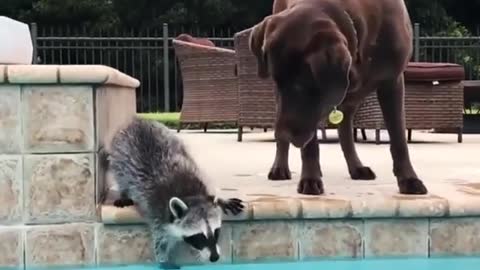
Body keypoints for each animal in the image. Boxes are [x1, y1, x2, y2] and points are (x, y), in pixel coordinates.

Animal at [107, 117, 246, 268]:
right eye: (199, 236)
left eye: (216, 232)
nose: (214, 257)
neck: (190, 195)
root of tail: (137, 121)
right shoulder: (158, 212)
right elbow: (161, 242)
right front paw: (164, 260)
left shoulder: (199, 176)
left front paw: (221, 200)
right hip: (119, 155)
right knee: (121, 177)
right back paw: (124, 193)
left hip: (171, 137)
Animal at [248, 0, 428, 195]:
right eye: (278, 80)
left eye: (300, 85)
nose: (283, 134)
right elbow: (311, 146)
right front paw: (310, 179)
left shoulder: (392, 81)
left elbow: (399, 139)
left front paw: (409, 179)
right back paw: (280, 167)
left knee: (345, 129)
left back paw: (356, 167)